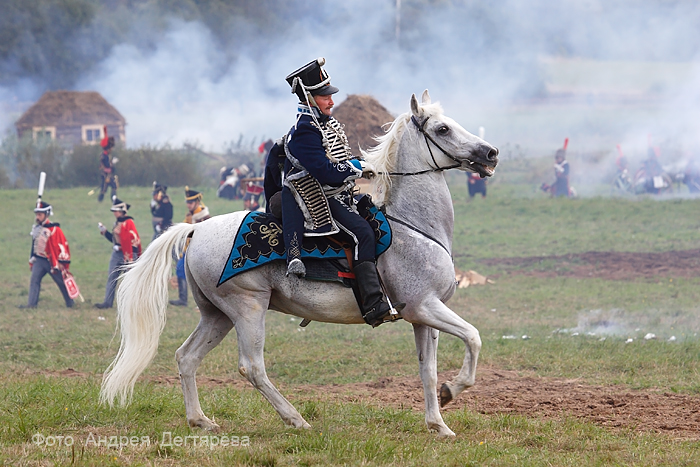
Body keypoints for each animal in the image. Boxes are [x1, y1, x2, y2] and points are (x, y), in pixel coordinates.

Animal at [102, 90, 498, 438]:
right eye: (442, 129)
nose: (491, 152)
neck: (415, 228)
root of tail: (197, 229)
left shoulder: (422, 316)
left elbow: (428, 371)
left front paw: (439, 424)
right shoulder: (424, 306)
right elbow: (474, 337)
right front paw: (454, 389)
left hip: (217, 315)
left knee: (186, 357)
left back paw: (201, 421)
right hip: (247, 308)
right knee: (252, 367)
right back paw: (295, 419)